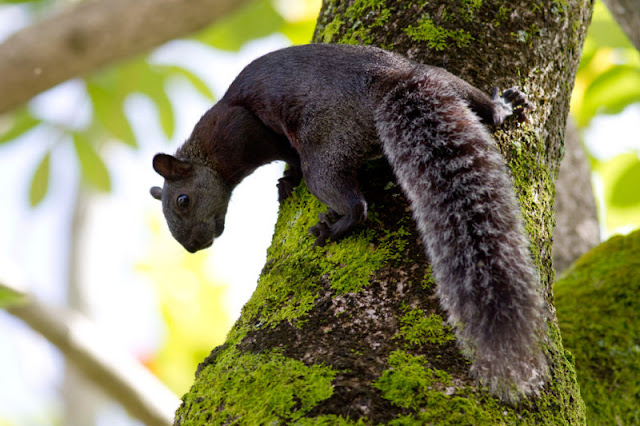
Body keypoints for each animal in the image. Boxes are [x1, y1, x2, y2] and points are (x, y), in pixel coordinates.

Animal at [152, 43, 548, 402]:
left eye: (182, 201)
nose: (193, 246)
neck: (207, 153)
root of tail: (390, 85)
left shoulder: (246, 133)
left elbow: (287, 156)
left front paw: (287, 181)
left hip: (325, 152)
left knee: (353, 203)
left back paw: (333, 227)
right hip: (442, 80)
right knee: (479, 106)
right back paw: (502, 106)